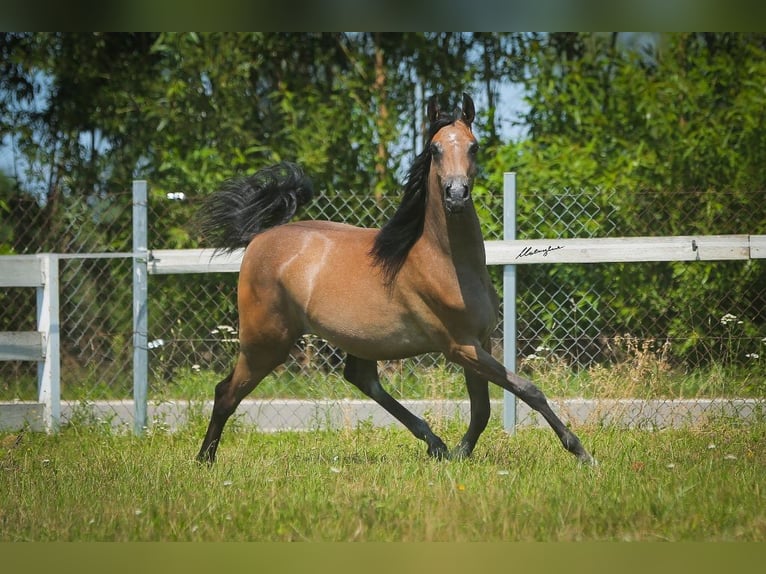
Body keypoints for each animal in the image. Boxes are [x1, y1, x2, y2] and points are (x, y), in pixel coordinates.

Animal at [196, 92, 592, 466]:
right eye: (434, 149)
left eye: (473, 145)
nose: (456, 195)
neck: (445, 262)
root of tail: (260, 239)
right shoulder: (459, 346)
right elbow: (527, 389)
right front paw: (581, 452)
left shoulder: (479, 341)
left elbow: (482, 410)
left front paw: (459, 455)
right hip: (265, 343)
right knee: (226, 392)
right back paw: (204, 460)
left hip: (358, 341)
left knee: (361, 378)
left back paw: (435, 444)